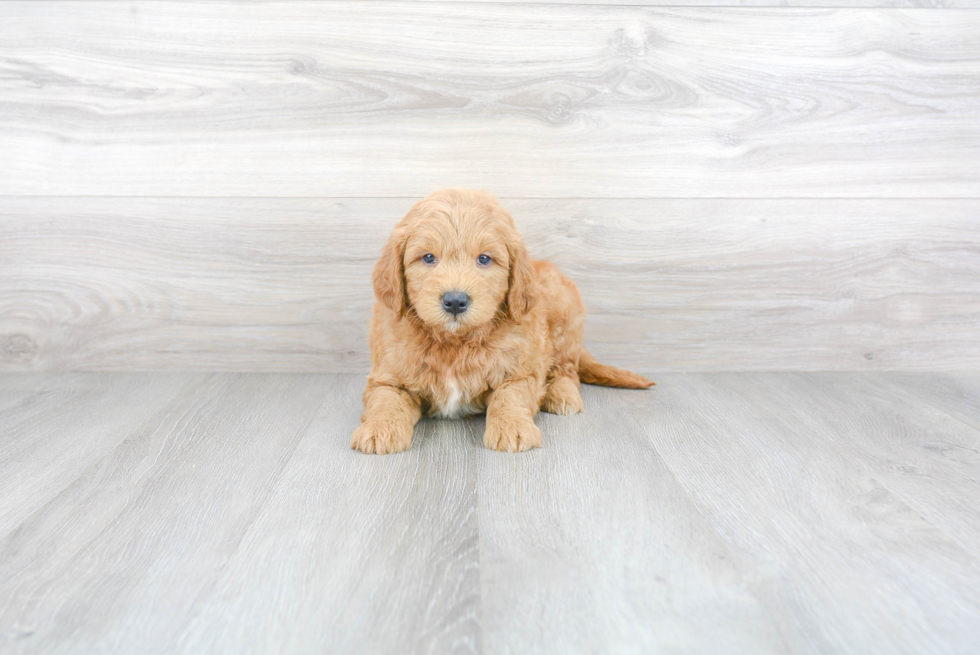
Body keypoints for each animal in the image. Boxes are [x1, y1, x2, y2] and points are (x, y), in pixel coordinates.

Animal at [348, 188, 656, 456]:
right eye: (428, 258)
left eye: (484, 259)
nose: (455, 301)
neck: (455, 343)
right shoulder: (386, 375)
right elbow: (386, 400)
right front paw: (378, 429)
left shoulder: (521, 369)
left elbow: (510, 396)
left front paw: (512, 428)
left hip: (565, 314)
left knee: (567, 369)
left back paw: (561, 395)